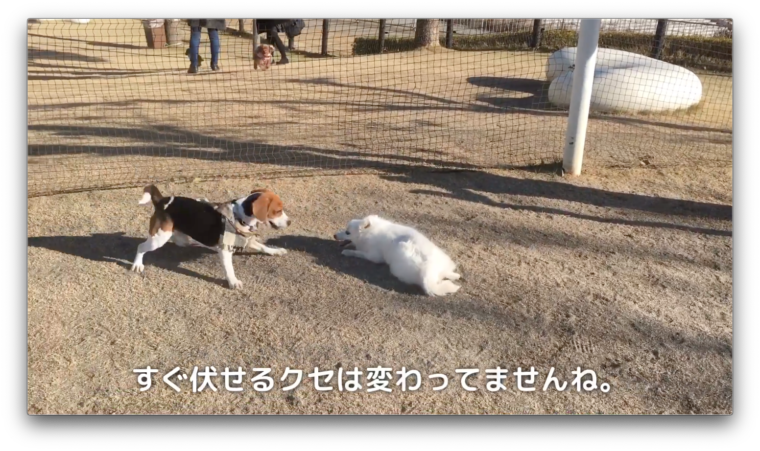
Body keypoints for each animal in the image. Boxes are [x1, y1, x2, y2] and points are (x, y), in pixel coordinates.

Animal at [131, 186, 290, 290]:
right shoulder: (225, 250)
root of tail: (162, 201)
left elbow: (264, 247)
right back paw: (137, 265)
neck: (239, 216)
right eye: (278, 211)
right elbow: (229, 269)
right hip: (158, 238)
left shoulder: (246, 239)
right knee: (140, 247)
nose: (289, 222)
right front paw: (233, 282)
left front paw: (276, 251)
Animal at [334, 215, 464, 296]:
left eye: (347, 232)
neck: (369, 232)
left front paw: (347, 252)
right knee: (444, 273)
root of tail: (427, 269)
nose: (334, 235)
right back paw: (455, 276)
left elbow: (358, 253)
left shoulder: (374, 256)